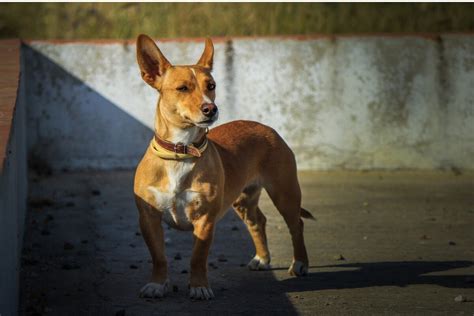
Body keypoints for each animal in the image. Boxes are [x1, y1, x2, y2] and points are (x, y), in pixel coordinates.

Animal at [133, 34, 312, 298]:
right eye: (182, 88)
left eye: (211, 86)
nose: (211, 108)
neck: (181, 151)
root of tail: (265, 127)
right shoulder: (148, 218)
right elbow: (159, 257)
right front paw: (157, 283)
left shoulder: (205, 220)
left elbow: (198, 258)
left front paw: (199, 287)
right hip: (243, 199)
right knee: (258, 221)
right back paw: (262, 258)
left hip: (285, 193)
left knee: (296, 225)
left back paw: (299, 263)